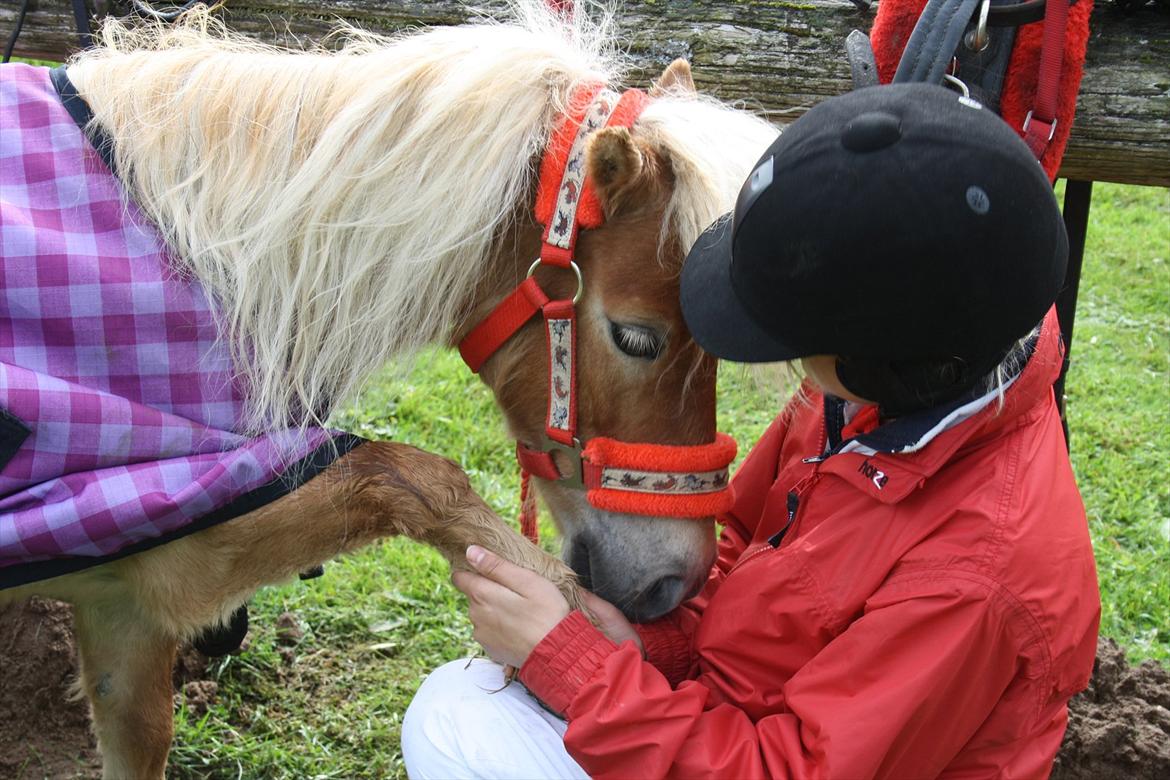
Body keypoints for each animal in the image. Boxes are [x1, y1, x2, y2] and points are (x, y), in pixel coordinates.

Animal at [4, 3, 781, 776]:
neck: (199, 262)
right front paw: (571, 624)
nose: (678, 580)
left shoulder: (125, 599)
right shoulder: (172, 533)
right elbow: (412, 476)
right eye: (637, 338)